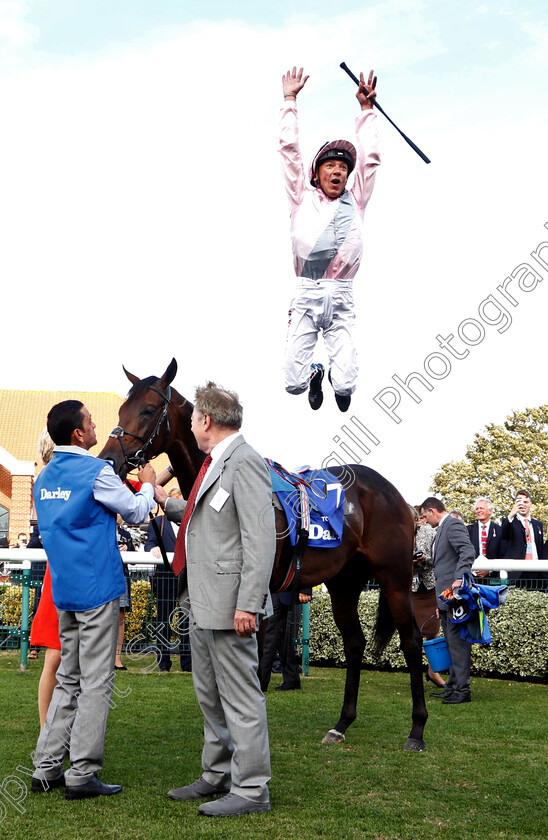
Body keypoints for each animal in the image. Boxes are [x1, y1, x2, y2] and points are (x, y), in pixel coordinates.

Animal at [98, 358, 428, 752]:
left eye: (148, 410)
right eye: (121, 409)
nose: (109, 460)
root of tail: (395, 496)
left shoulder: (256, 596)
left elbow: (252, 669)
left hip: (395, 579)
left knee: (412, 641)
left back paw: (417, 729)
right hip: (344, 583)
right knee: (355, 643)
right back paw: (342, 723)